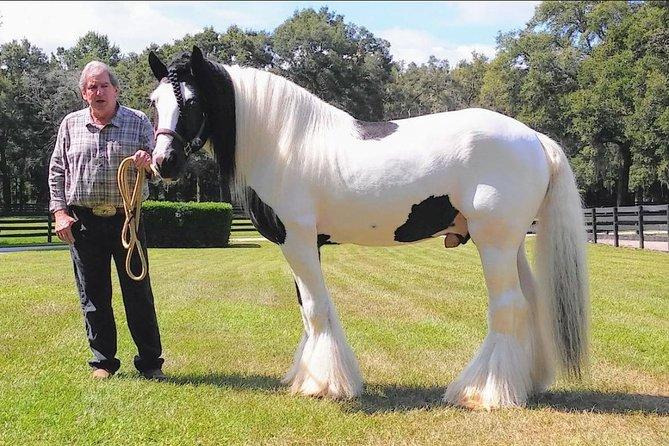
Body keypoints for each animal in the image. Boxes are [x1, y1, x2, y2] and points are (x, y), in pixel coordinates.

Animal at [145, 47, 584, 410]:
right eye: (154, 102)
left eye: (192, 102)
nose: (164, 163)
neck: (285, 143)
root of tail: (534, 138)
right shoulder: (307, 244)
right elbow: (308, 309)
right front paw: (308, 375)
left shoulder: (297, 240)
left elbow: (317, 309)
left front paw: (323, 386)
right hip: (511, 245)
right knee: (528, 304)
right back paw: (525, 383)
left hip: (494, 243)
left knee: (507, 308)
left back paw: (483, 393)